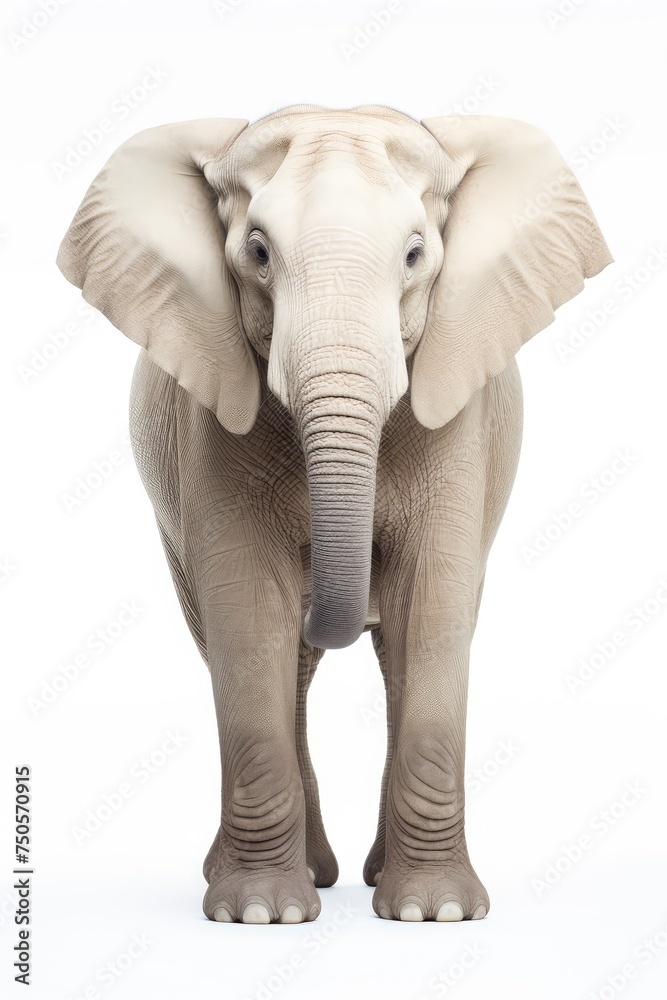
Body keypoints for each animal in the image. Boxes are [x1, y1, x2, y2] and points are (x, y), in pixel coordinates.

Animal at [57, 104, 612, 924]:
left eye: (414, 254)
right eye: (257, 251)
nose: (330, 602)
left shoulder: (461, 414)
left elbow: (430, 609)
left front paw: (433, 914)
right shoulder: (209, 422)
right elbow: (251, 615)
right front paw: (261, 914)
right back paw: (303, 875)